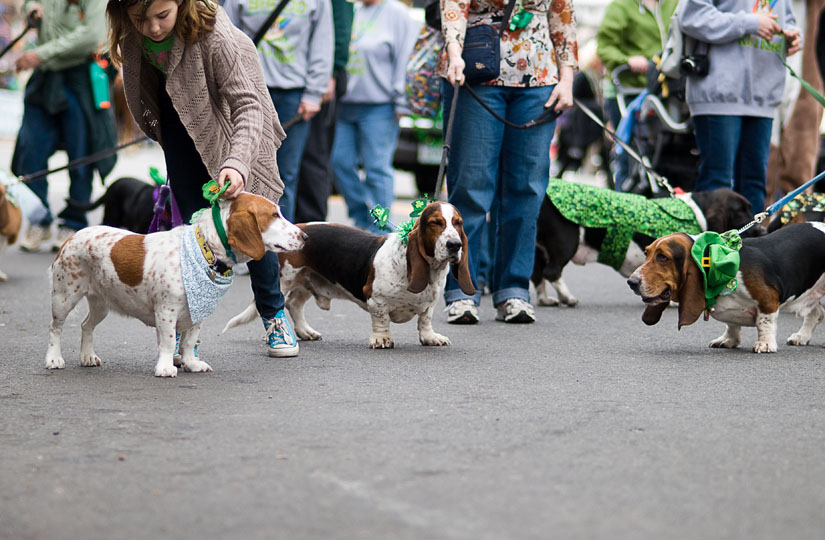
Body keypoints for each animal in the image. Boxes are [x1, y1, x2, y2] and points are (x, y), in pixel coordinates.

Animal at [45, 193, 302, 376]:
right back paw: (54, 358)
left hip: (102, 304)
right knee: (55, 329)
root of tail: (71, 237)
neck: (204, 249)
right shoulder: (166, 311)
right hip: (63, 298)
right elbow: (169, 342)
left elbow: (188, 342)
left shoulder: (197, 314)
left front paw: (191, 363)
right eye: (274, 215)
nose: (305, 236)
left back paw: (87, 356)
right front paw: (166, 367)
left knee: (86, 326)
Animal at [222, 200, 474, 348]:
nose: (455, 245)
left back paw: (306, 332)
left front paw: (430, 338)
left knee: (294, 304)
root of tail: (298, 228)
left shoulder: (430, 303)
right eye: (435, 223)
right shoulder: (376, 300)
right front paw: (381, 339)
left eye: (458, 223)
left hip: (306, 280)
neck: (429, 270)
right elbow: (381, 320)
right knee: (277, 303)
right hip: (285, 280)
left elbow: (425, 320)